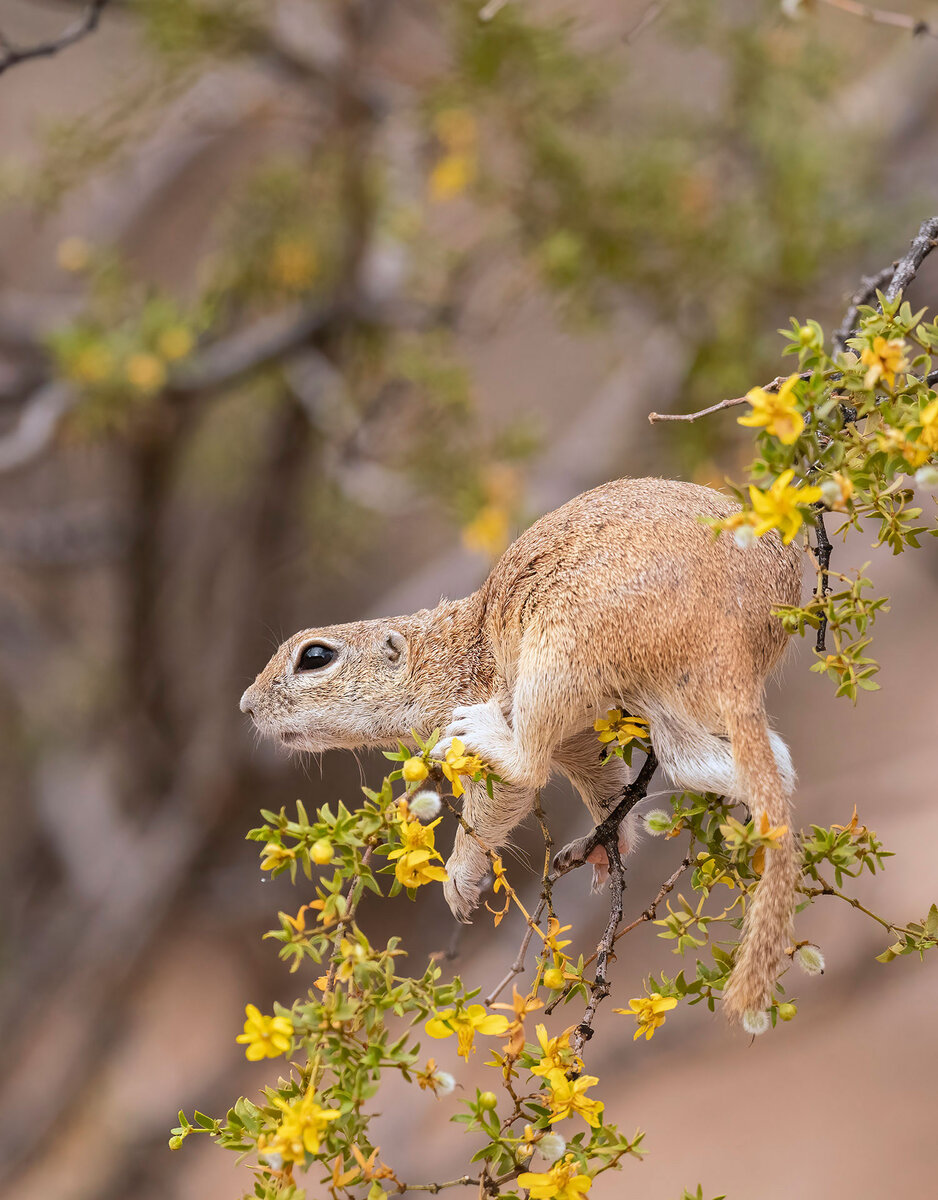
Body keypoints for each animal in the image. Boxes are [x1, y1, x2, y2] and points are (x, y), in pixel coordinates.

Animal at [241, 477, 801, 1022]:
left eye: (315, 657)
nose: (245, 706)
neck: (441, 656)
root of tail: (734, 628)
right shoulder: (579, 735)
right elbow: (601, 775)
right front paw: (609, 843)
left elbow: (505, 794)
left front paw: (460, 881)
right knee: (738, 763)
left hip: (559, 649)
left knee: (528, 764)